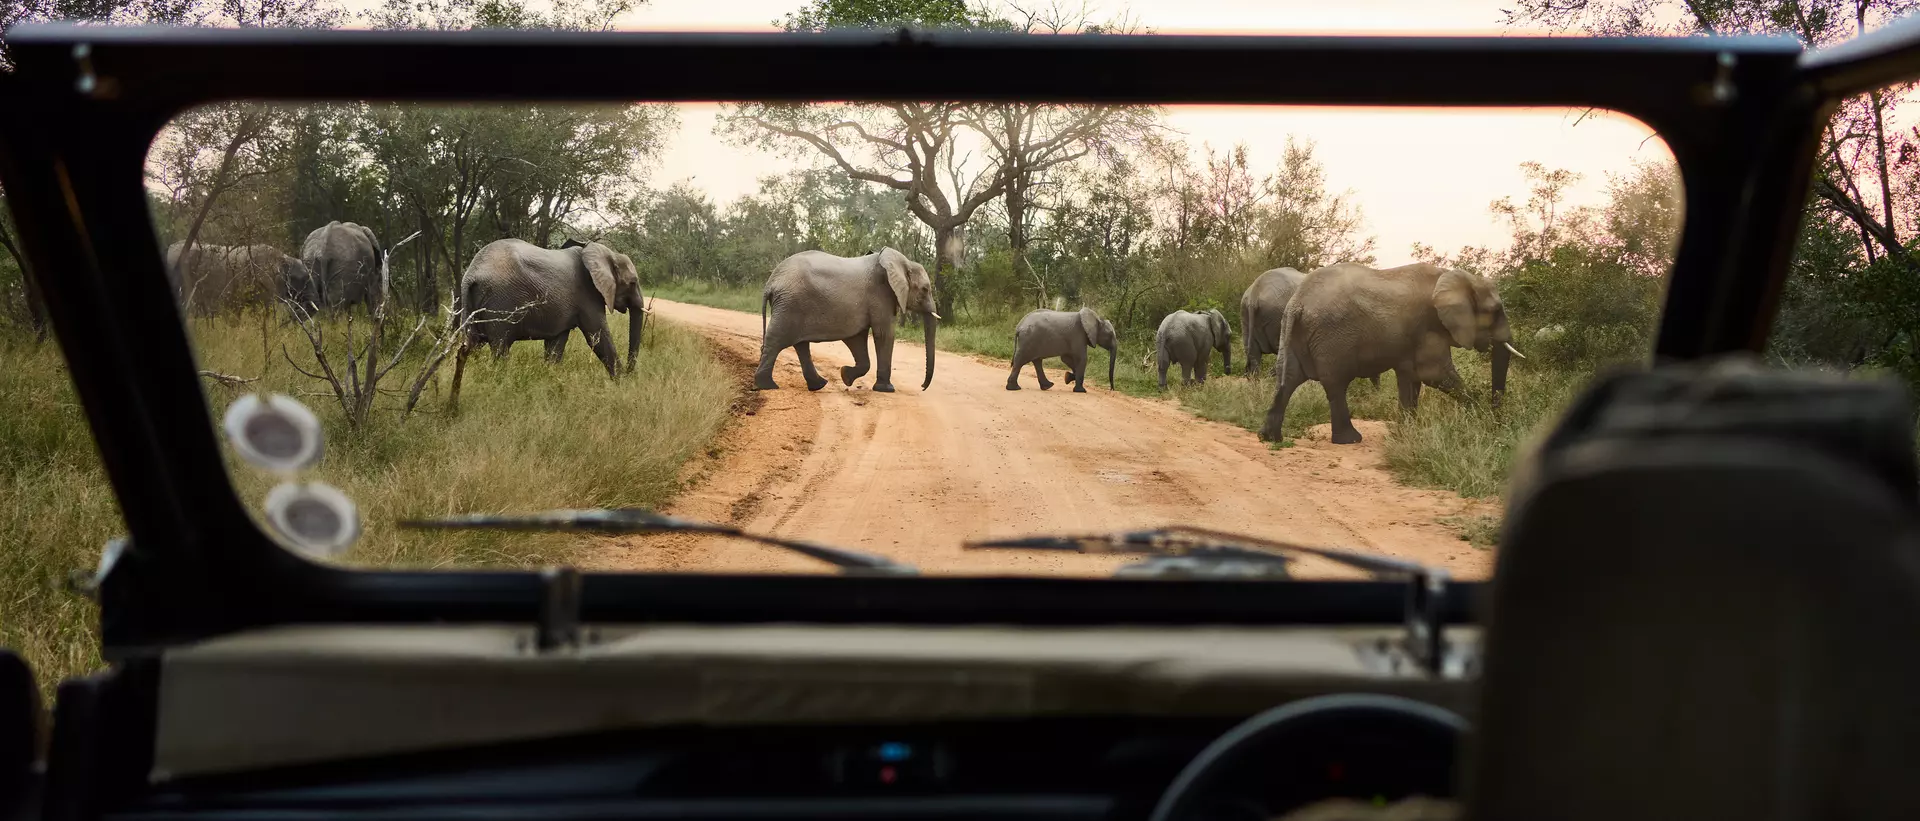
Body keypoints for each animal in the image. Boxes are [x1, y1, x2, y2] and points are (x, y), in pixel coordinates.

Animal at [449, 238, 644, 398]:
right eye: (633, 282)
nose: (631, 374)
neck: (605, 253)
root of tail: (471, 275)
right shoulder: (588, 295)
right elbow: (597, 337)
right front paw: (623, 385)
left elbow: (556, 345)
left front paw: (550, 379)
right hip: (501, 303)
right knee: (500, 347)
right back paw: (500, 385)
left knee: (473, 344)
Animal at [755, 247, 939, 394]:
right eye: (925, 289)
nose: (922, 387)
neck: (903, 262)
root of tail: (770, 283)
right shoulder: (881, 295)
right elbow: (884, 334)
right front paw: (887, 390)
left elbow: (856, 338)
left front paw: (845, 376)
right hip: (790, 304)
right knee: (777, 340)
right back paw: (767, 386)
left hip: (792, 306)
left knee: (800, 345)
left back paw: (818, 385)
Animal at [1256, 262, 1525, 445]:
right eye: (1495, 310)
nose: (1497, 422)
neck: (1455, 277)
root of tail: (1297, 302)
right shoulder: (1429, 326)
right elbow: (1434, 374)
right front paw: (1479, 413)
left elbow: (1411, 377)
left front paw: (1408, 431)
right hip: (1332, 337)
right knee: (1336, 384)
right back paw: (1351, 440)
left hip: (1293, 331)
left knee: (1288, 379)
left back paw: (1270, 438)